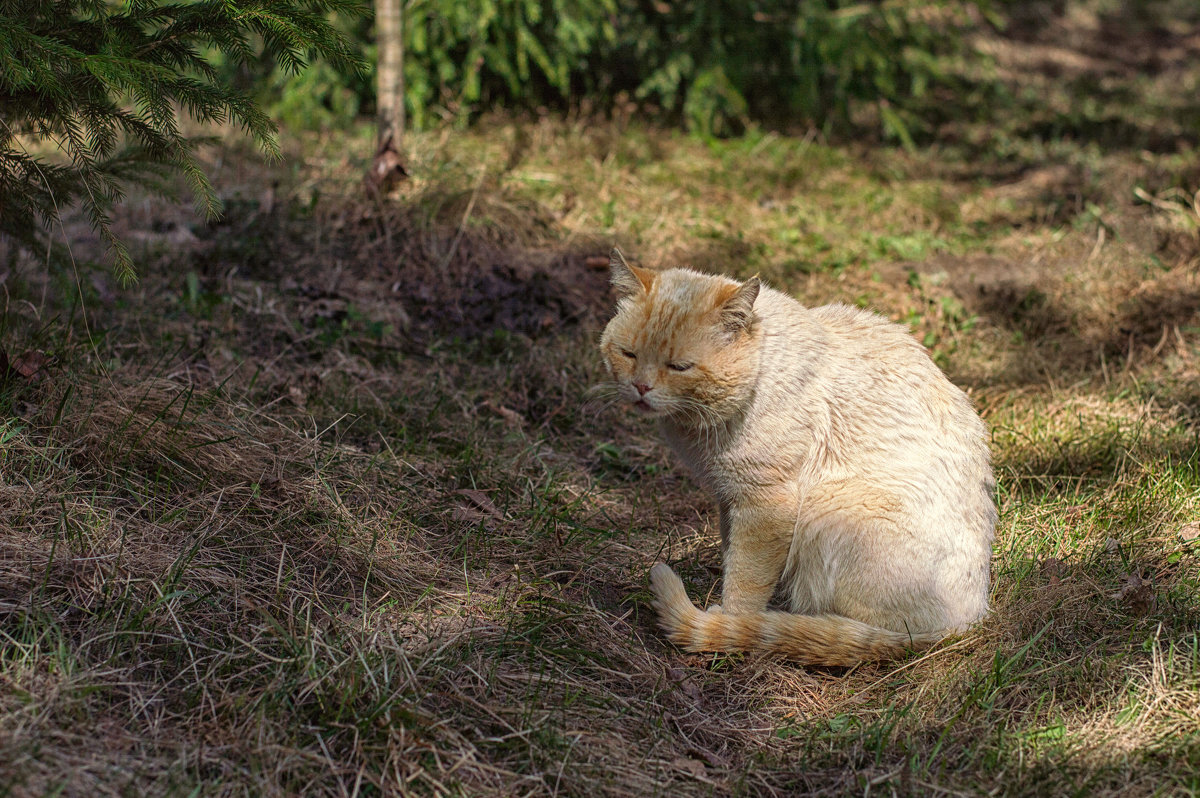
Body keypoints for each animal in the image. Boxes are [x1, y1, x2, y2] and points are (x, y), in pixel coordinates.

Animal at [597, 249, 993, 667]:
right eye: (628, 354)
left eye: (679, 366)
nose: (641, 387)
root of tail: (964, 623)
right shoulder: (729, 497)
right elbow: (731, 552)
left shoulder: (767, 504)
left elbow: (746, 580)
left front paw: (729, 624)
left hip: (829, 508)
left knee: (844, 628)